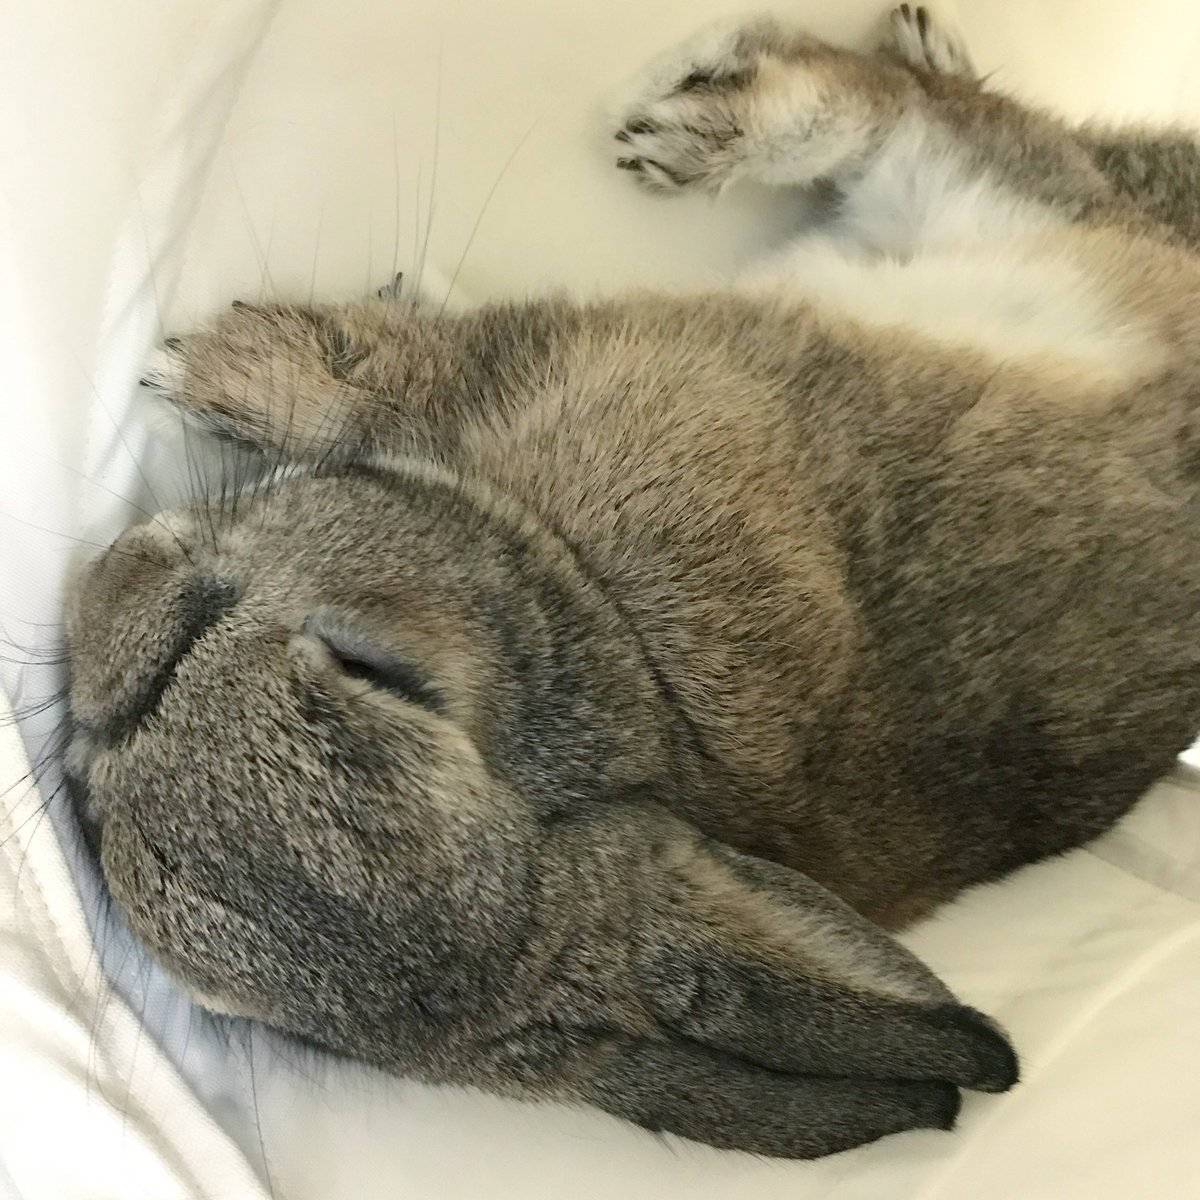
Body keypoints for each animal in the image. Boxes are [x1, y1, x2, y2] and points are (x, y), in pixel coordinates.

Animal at [64, 4, 1200, 1161]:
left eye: (371, 671)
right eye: (99, 819)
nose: (110, 599)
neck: (605, 633)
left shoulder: (552, 372)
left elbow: (399, 382)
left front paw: (215, 366)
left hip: (989, 213)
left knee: (906, 115)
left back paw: (699, 123)